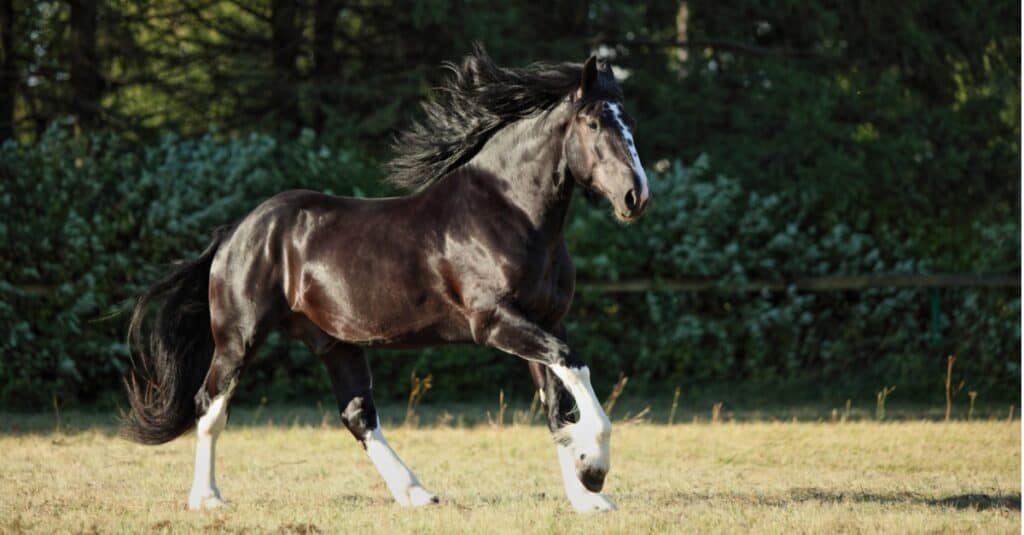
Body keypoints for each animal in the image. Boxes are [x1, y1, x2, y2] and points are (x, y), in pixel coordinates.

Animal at [121, 46, 647, 512]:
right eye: (594, 123)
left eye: (629, 121)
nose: (635, 196)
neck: (509, 212)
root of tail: (238, 231)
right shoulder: (497, 322)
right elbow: (574, 369)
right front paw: (595, 469)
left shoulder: (546, 320)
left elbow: (559, 407)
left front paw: (587, 495)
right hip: (239, 338)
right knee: (210, 405)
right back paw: (206, 499)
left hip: (334, 342)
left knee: (357, 415)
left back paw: (416, 494)